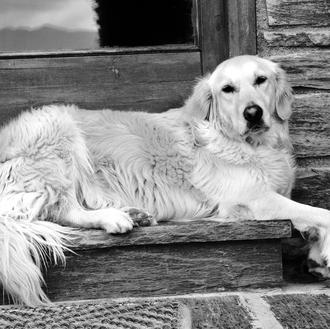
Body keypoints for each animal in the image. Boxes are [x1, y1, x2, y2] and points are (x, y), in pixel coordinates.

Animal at [0, 54, 330, 304]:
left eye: (260, 80)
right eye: (227, 89)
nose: (253, 113)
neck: (251, 144)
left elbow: (310, 220)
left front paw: (317, 257)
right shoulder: (252, 199)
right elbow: (321, 212)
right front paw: (323, 252)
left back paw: (133, 213)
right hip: (58, 135)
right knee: (63, 210)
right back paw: (113, 218)